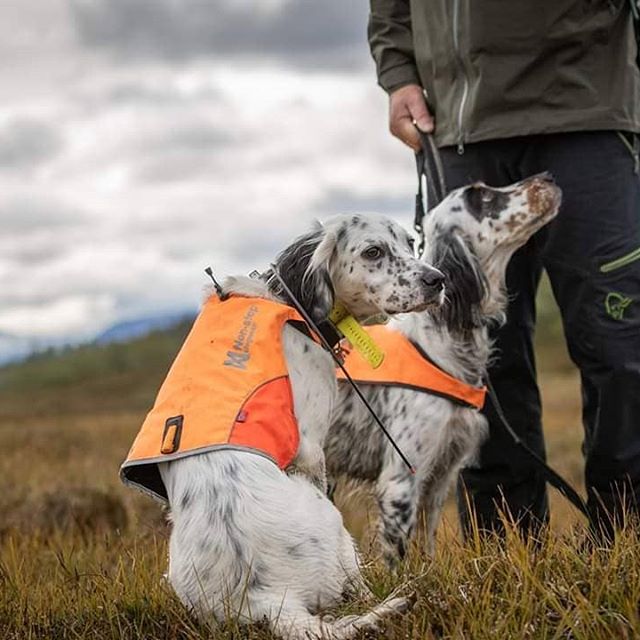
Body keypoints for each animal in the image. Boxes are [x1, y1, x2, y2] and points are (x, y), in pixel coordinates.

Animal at [124, 215, 444, 640]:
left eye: (410, 242)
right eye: (373, 251)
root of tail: (266, 599)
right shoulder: (310, 448)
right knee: (354, 580)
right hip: (333, 524)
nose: (438, 280)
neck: (288, 303)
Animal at [324, 172, 560, 564]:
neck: (441, 343)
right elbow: (399, 561)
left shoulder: (439, 478)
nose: (548, 177)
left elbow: (427, 548)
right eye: (480, 196)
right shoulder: (402, 480)